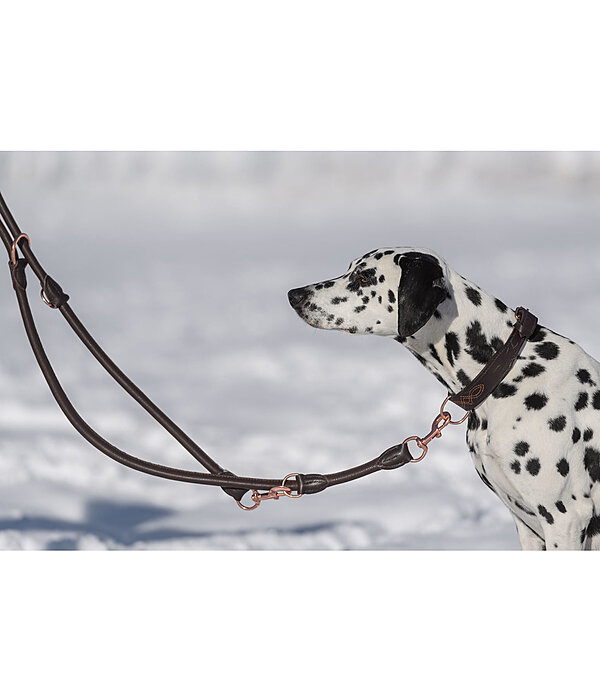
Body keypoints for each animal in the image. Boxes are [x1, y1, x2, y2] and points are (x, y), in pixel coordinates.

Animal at [288, 249, 600, 548]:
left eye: (364, 277)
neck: (506, 365)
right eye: (351, 268)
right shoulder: (528, 528)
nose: (294, 295)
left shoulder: (564, 518)